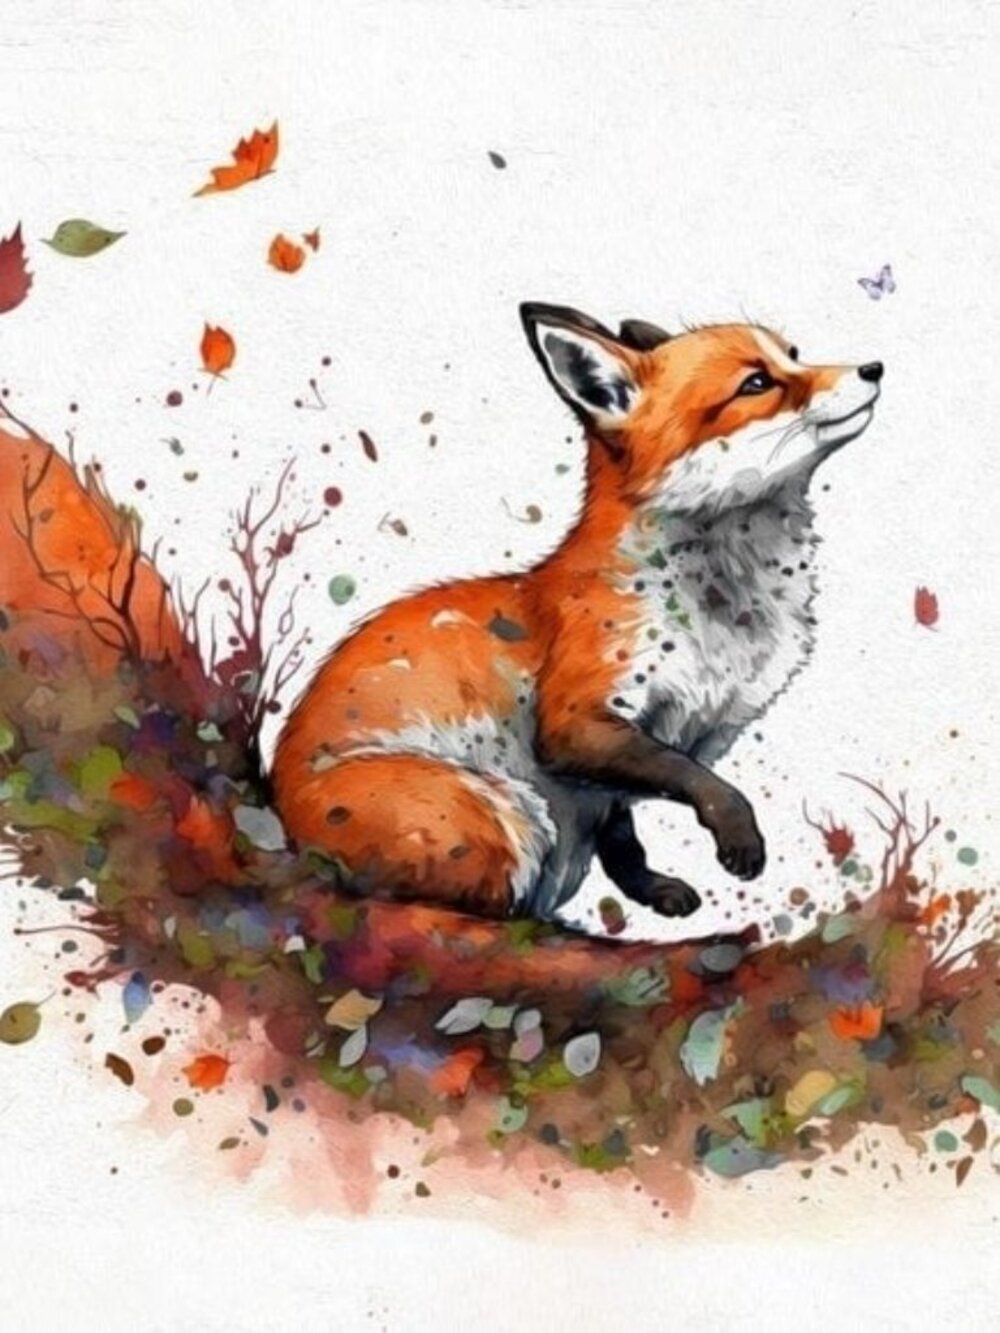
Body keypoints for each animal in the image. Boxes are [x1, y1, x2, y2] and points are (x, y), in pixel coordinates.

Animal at [271, 303, 883, 925]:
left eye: (794, 353)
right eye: (756, 383)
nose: (875, 368)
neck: (721, 613)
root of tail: (288, 834)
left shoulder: (655, 747)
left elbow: (625, 836)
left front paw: (651, 888)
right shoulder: (576, 723)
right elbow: (702, 782)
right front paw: (738, 835)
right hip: (508, 817)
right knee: (468, 907)